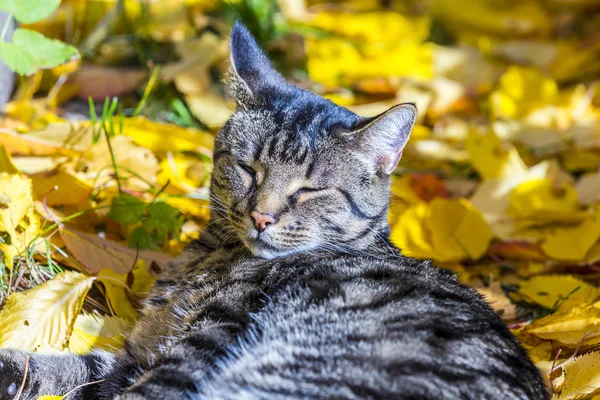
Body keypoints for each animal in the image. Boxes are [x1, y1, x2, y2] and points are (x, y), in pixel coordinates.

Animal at [0, 21, 548, 400]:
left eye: (309, 190)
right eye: (249, 169)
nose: (262, 217)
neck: (209, 257)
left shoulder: (188, 357)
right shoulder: (133, 355)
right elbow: (63, 370)